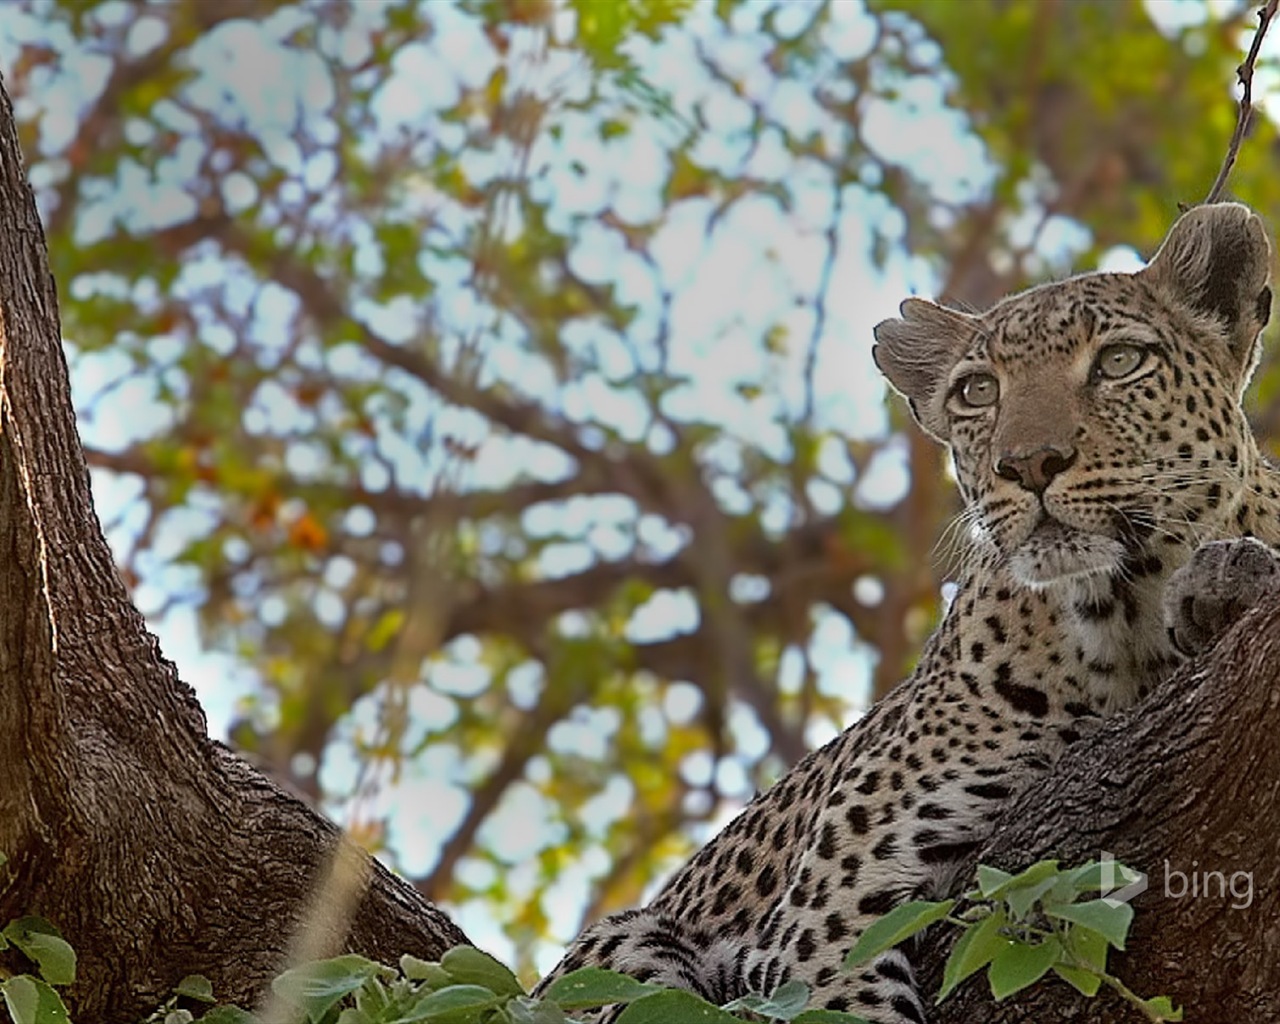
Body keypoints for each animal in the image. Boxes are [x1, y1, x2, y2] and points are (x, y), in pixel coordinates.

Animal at [535, 202, 1280, 1024]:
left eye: (1119, 362)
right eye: (977, 393)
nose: (1029, 464)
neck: (1125, 619)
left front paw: (1225, 579)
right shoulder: (827, 912)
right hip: (622, 945)